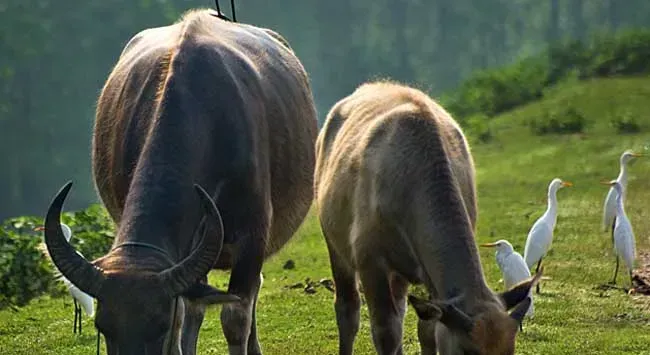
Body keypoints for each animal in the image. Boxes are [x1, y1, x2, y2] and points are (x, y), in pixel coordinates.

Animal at [42, 8, 316, 355]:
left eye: (158, 325)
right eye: (103, 327)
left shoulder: (252, 236)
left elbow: (235, 316)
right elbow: (185, 316)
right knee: (196, 310)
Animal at [314, 80, 536, 355]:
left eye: (510, 351)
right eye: (467, 352)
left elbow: (428, 330)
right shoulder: (370, 261)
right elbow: (385, 333)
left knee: (399, 310)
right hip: (335, 244)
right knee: (348, 309)